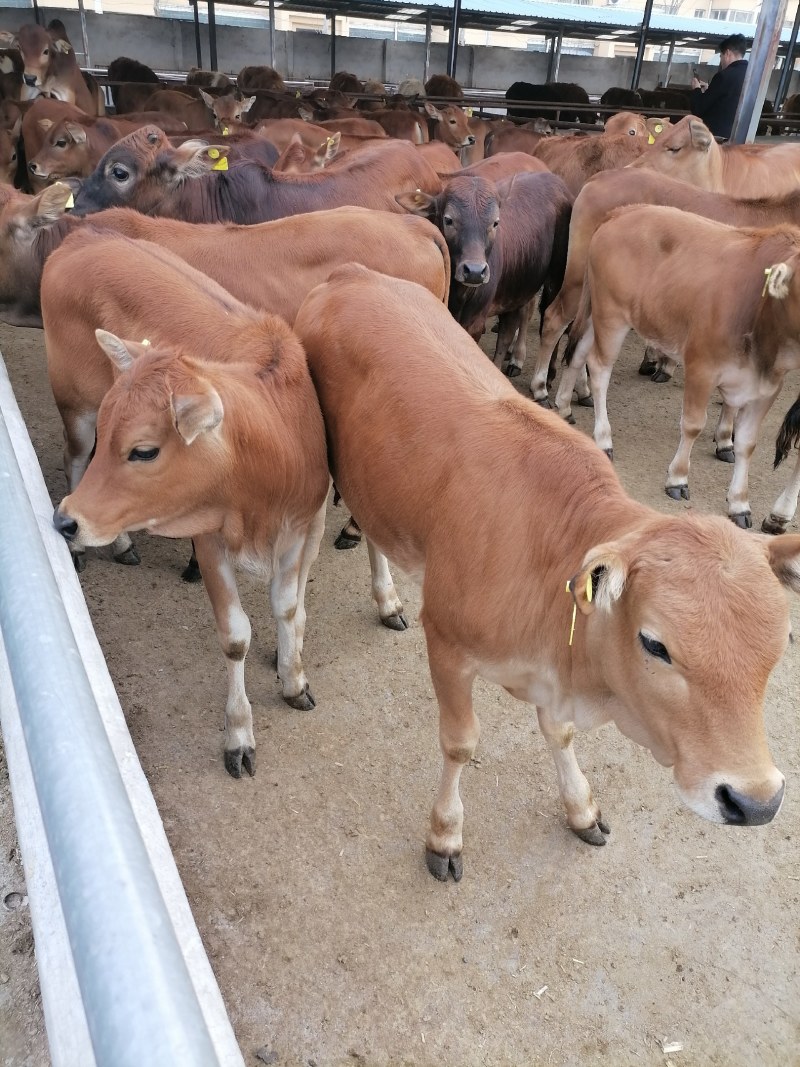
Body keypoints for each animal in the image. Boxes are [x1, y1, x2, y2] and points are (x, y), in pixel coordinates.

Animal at [298, 266, 797, 883]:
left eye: (781, 646)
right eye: (655, 645)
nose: (756, 801)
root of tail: (353, 274)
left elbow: (558, 734)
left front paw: (581, 807)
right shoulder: (447, 644)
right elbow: (460, 743)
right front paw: (445, 834)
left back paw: (386, 598)